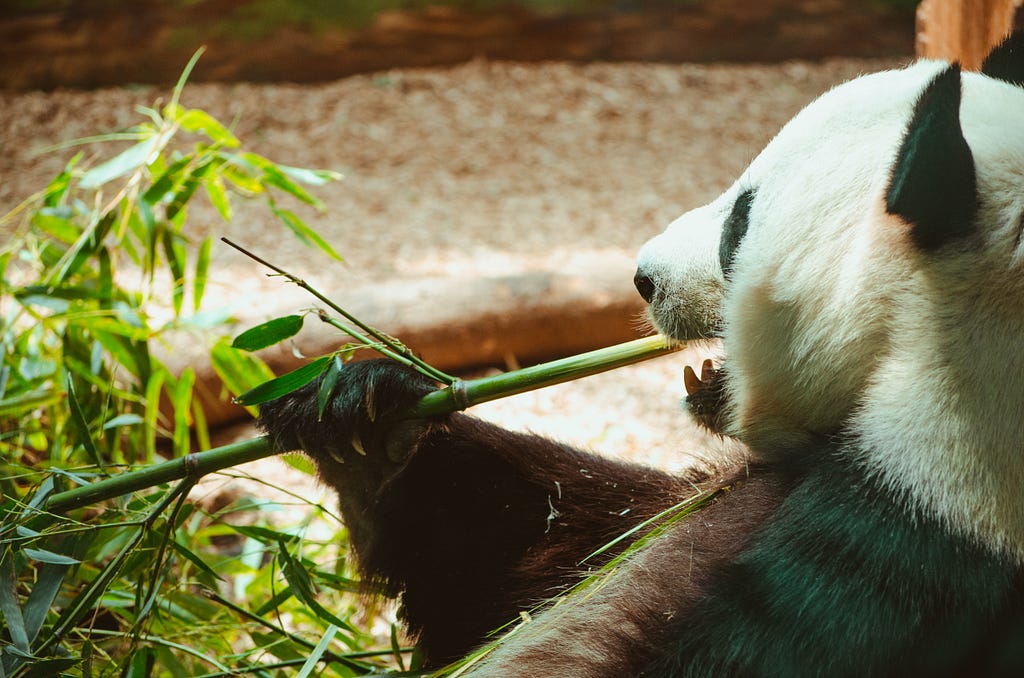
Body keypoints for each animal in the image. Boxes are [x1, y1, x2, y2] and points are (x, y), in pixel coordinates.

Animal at [260, 35, 1024, 678]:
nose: (643, 276)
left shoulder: (911, 551)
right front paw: (368, 423)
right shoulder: (734, 487)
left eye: (740, 224)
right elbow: (553, 542)